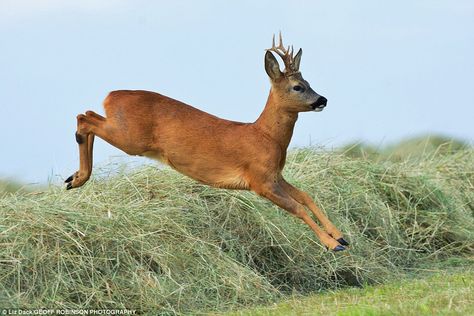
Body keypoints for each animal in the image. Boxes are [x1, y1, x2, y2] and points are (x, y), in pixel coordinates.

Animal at [65, 34, 348, 252]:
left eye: (309, 82)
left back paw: (74, 178)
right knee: (84, 118)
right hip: (130, 138)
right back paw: (78, 178)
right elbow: (297, 207)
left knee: (86, 115)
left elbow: (305, 196)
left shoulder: (274, 175)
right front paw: (332, 245)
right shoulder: (260, 180)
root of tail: (110, 96)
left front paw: (340, 235)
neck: (266, 136)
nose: (322, 100)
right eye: (298, 86)